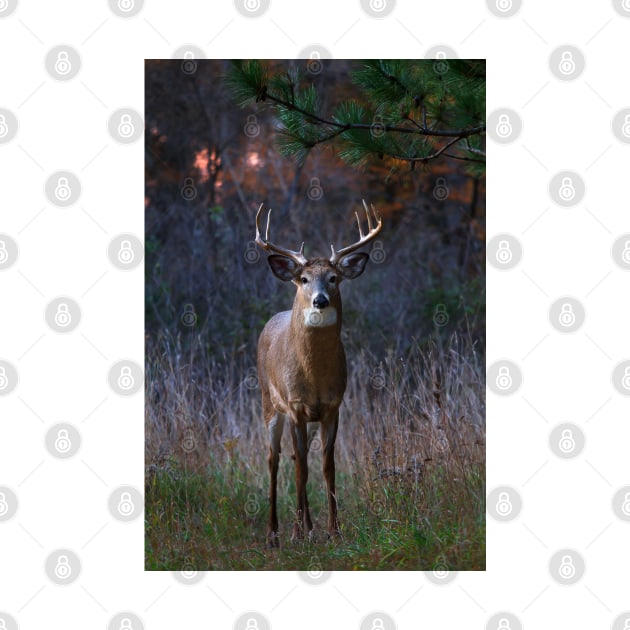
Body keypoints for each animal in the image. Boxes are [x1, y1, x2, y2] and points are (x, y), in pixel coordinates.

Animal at [253, 200, 386, 544]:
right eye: (303, 279)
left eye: (333, 277)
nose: (320, 300)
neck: (313, 376)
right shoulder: (295, 406)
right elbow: (301, 469)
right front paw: (297, 533)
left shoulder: (332, 406)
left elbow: (327, 465)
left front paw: (332, 530)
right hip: (269, 402)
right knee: (274, 459)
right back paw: (273, 533)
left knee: (295, 458)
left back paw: (308, 526)